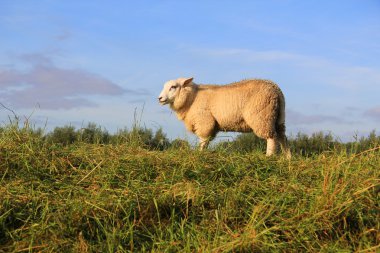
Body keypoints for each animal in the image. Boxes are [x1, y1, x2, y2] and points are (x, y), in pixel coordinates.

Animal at [157, 76, 290, 158]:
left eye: (173, 87)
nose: (160, 98)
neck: (192, 97)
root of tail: (276, 89)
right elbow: (206, 141)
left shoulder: (205, 122)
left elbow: (203, 141)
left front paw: (200, 154)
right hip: (278, 117)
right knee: (283, 137)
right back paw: (287, 158)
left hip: (262, 116)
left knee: (271, 138)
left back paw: (268, 157)